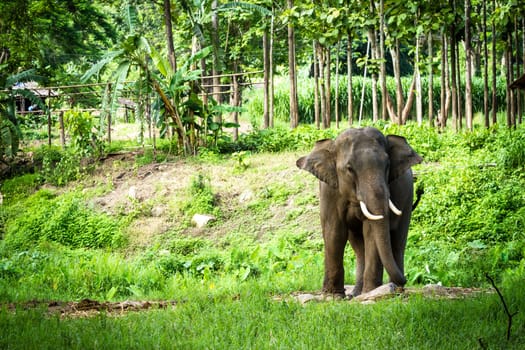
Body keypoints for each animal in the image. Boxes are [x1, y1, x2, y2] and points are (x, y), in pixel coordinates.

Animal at [294, 127, 422, 296]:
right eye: (349, 169)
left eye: (388, 165)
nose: (407, 279)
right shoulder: (329, 191)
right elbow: (334, 231)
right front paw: (333, 295)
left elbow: (371, 232)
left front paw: (370, 292)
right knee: (359, 247)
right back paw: (356, 293)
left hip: (408, 198)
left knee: (397, 242)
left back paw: (393, 290)